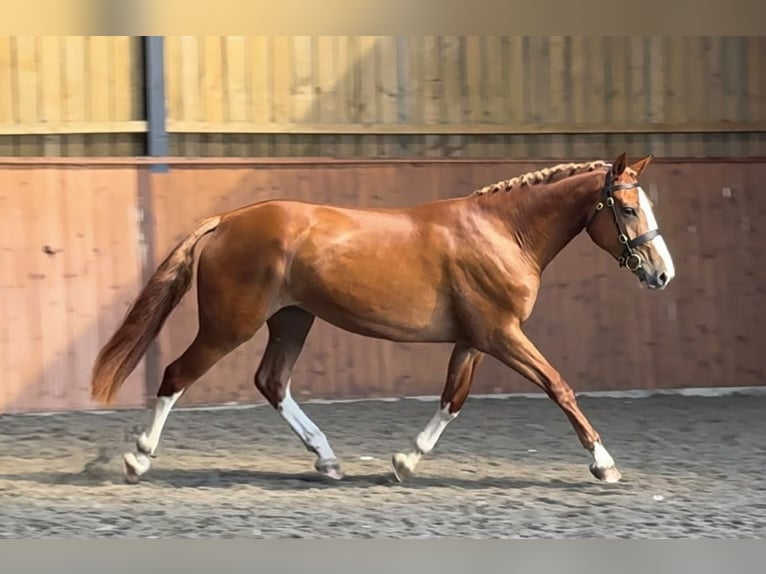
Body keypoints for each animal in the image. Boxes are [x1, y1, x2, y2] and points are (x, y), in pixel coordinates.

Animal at [90, 152, 675, 485]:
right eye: (627, 209)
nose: (662, 274)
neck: (502, 233)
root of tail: (228, 219)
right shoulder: (502, 334)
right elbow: (559, 387)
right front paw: (604, 464)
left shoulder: (475, 339)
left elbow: (452, 400)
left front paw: (405, 462)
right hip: (229, 326)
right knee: (176, 376)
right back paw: (138, 459)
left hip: (292, 320)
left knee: (272, 382)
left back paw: (327, 461)